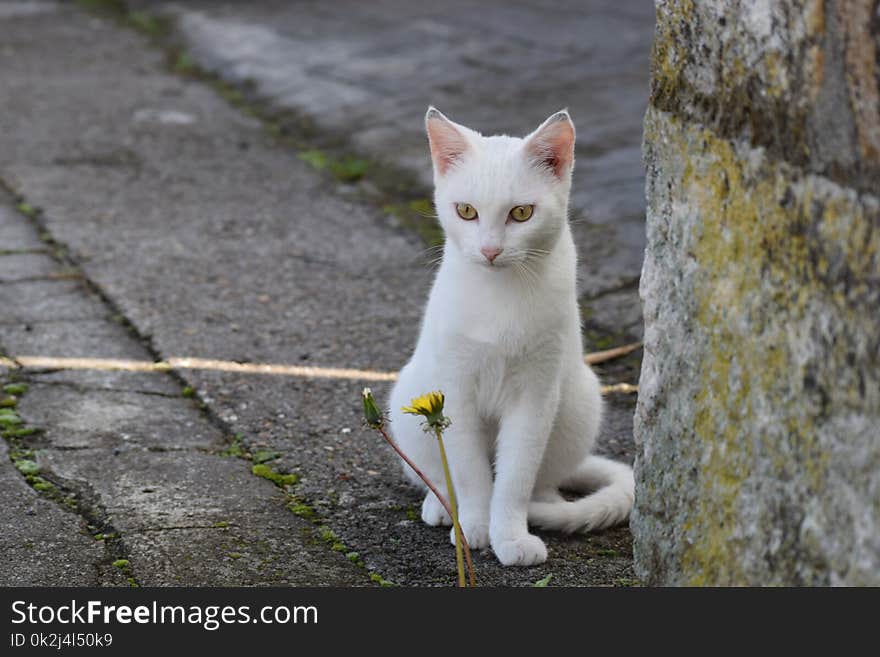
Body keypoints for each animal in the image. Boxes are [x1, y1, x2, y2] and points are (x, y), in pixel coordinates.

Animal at [386, 106, 632, 564]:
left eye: (521, 214)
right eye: (466, 210)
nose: (489, 250)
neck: (501, 292)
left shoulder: (537, 394)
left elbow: (516, 474)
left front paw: (511, 535)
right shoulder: (455, 392)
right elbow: (470, 472)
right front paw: (475, 526)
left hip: (578, 402)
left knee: (543, 477)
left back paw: (548, 505)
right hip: (409, 398)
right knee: (436, 474)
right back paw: (442, 506)